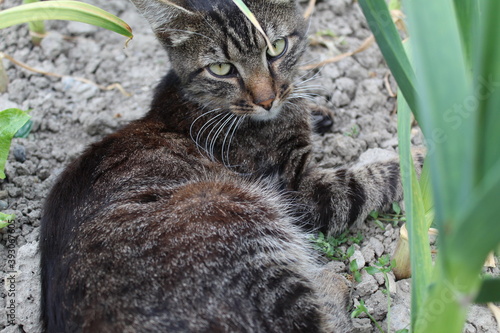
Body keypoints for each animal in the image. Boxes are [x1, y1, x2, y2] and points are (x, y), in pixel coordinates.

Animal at [40, 1, 422, 330]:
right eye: (221, 69)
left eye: (276, 48)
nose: (267, 100)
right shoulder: (301, 191)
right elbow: (372, 178)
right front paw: (421, 161)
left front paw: (314, 108)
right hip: (234, 211)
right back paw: (332, 283)